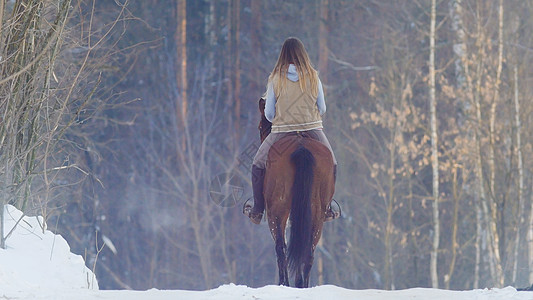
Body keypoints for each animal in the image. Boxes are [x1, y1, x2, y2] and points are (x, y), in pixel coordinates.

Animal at [256, 98, 334, 288]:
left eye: (260, 126)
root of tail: (301, 147)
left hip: (277, 210)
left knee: (281, 247)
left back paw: (284, 283)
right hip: (316, 212)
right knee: (307, 249)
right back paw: (302, 285)